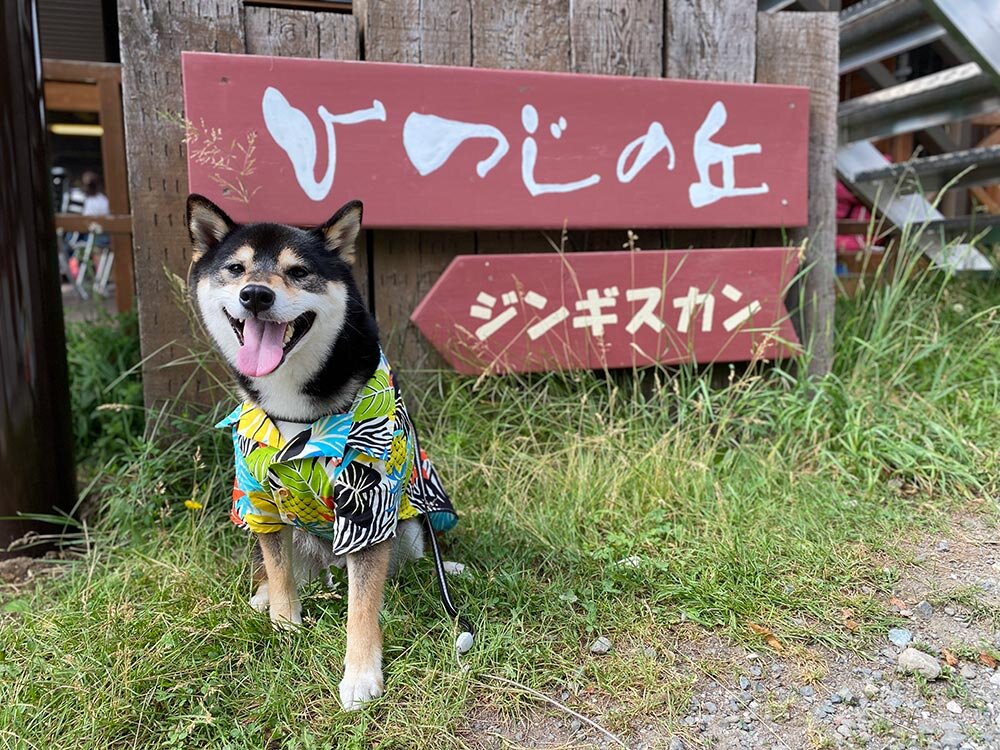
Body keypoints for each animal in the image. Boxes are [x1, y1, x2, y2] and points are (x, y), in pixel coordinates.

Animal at [188, 194, 460, 712]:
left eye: (298, 272)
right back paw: (264, 595)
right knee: (284, 567)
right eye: (235, 268)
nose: (255, 294)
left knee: (403, 563)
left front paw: (360, 676)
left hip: (410, 527)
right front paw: (284, 625)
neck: (293, 402)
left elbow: (362, 606)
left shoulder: (368, 505)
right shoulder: (257, 499)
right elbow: (279, 571)